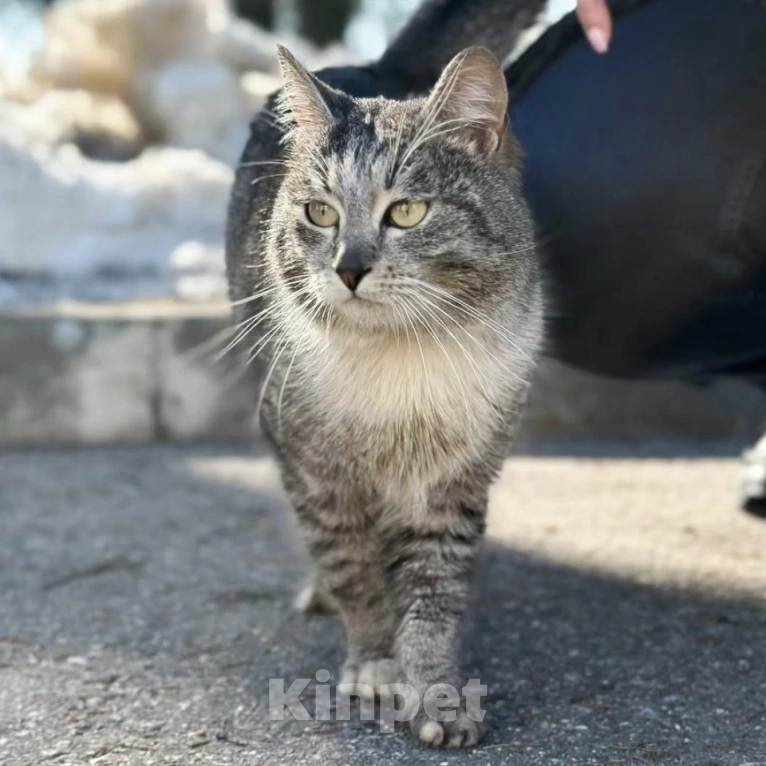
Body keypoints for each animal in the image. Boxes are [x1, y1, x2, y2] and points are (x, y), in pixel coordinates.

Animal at [225, 46, 544, 752]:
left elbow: (433, 597)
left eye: (406, 213)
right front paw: (374, 662)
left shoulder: (454, 484)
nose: (348, 268)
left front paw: (435, 693)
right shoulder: (316, 472)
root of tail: (377, 64)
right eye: (320, 214)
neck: (398, 362)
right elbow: (354, 570)